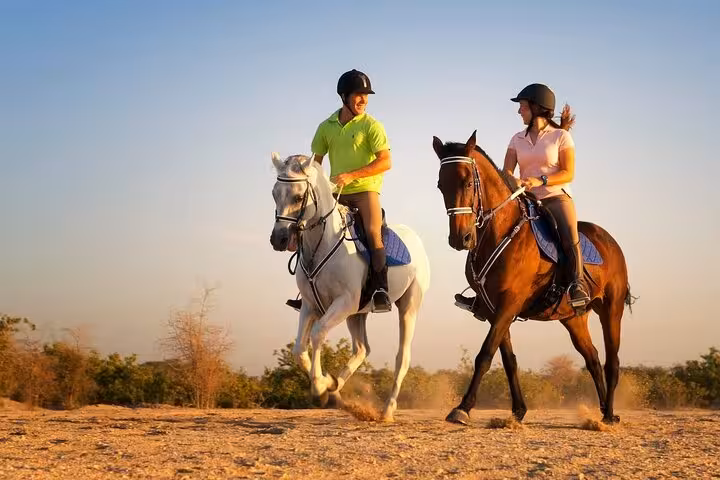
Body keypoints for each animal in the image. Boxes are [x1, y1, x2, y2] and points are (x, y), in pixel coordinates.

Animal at [269, 152, 431, 421]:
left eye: (299, 197)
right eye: (274, 193)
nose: (278, 239)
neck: (323, 242)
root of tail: (415, 239)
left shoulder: (344, 302)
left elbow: (317, 334)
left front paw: (319, 388)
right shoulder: (310, 306)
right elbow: (299, 348)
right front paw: (327, 385)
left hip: (408, 306)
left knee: (402, 357)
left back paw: (387, 410)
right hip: (357, 314)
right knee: (362, 349)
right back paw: (336, 388)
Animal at [432, 131, 633, 425]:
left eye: (468, 181)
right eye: (440, 185)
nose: (461, 238)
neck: (499, 232)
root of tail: (611, 242)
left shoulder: (510, 302)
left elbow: (485, 354)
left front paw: (463, 408)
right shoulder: (492, 308)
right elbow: (508, 359)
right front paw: (518, 410)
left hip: (611, 309)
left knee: (612, 360)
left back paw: (609, 414)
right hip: (573, 319)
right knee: (593, 359)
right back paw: (603, 410)